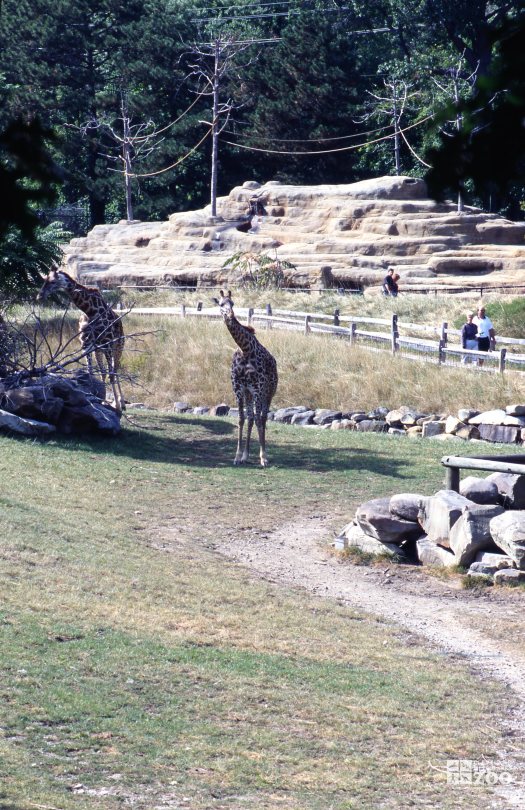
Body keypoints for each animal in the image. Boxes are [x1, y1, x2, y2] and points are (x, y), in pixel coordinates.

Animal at [36, 268, 125, 410]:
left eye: (53, 281)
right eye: (45, 279)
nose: (39, 296)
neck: (90, 311)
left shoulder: (107, 343)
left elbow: (111, 374)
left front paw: (116, 404)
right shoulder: (86, 344)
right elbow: (91, 372)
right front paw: (96, 398)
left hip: (118, 346)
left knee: (115, 371)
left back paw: (121, 403)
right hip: (99, 350)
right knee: (104, 372)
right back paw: (106, 400)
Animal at [213, 290, 278, 468]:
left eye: (233, 303)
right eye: (221, 303)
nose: (230, 314)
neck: (245, 349)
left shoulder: (258, 389)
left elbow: (258, 420)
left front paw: (263, 458)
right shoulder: (239, 388)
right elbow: (241, 419)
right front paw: (237, 456)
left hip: (269, 393)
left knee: (262, 418)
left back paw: (262, 455)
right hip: (249, 394)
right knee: (250, 418)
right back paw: (246, 455)